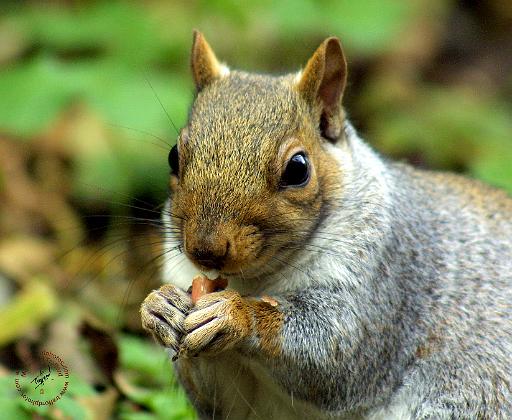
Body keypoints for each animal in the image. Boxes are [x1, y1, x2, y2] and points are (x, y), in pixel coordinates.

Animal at [140, 31, 512, 418]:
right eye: (173, 157)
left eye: (298, 169)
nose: (205, 250)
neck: (253, 281)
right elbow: (219, 396)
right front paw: (158, 307)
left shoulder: (384, 284)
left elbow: (335, 352)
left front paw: (236, 314)